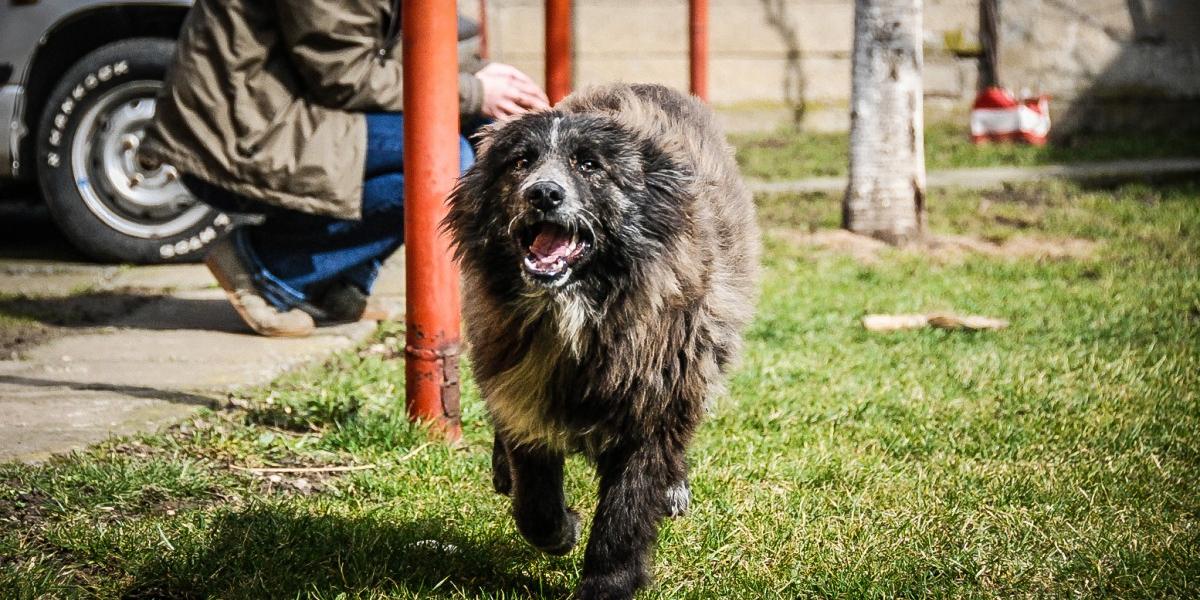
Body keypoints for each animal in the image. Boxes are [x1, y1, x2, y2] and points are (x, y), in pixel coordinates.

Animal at [445, 83, 759, 599]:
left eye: (589, 165)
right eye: (520, 162)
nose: (544, 193)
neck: (584, 307)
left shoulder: (653, 404)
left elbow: (624, 514)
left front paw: (607, 584)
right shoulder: (525, 390)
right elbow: (536, 508)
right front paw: (563, 528)